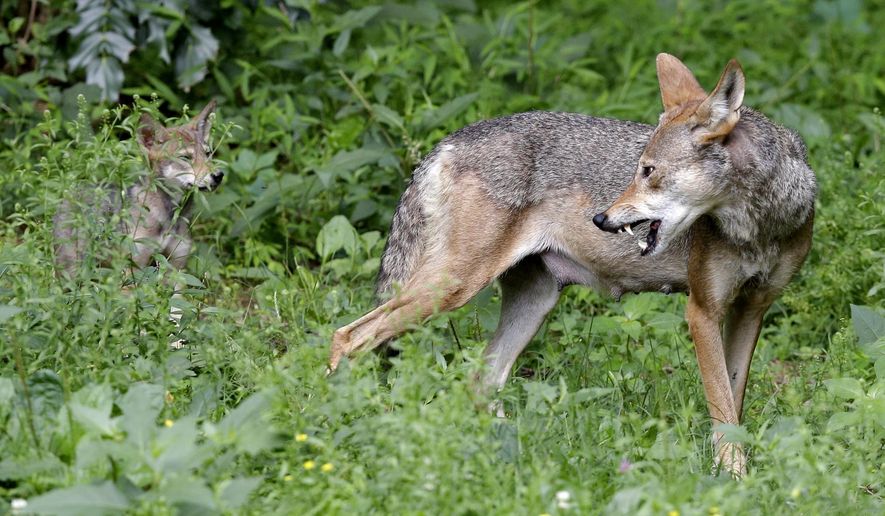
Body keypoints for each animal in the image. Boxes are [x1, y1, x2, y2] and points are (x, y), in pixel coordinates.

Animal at [53, 101, 223, 310]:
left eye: (208, 154)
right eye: (185, 158)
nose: (218, 175)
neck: (168, 218)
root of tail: (72, 190)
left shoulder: (176, 270)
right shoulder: (133, 271)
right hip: (73, 273)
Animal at [330, 54, 816, 476]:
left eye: (648, 171)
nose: (601, 218)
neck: (762, 224)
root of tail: (448, 142)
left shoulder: (751, 309)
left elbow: (733, 402)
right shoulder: (701, 311)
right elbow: (722, 408)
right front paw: (733, 478)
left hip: (532, 304)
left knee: (480, 381)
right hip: (448, 291)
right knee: (347, 337)